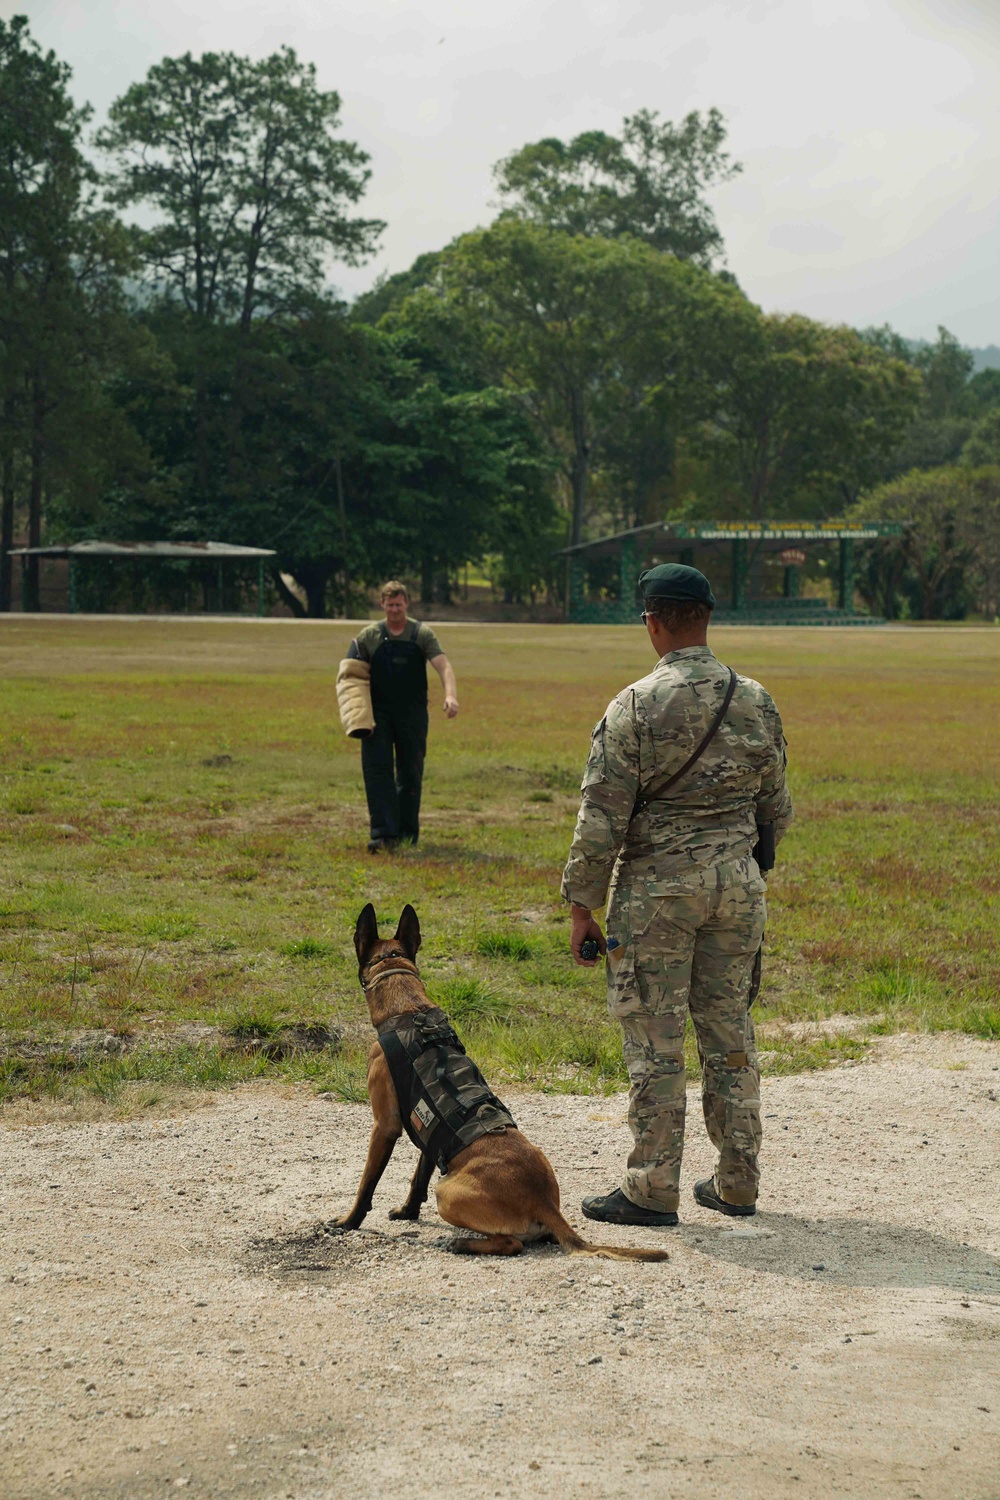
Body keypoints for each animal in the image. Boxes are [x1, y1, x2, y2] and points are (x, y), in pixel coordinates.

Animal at [328, 906, 668, 1260]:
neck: (408, 1008)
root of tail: (543, 1201)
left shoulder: (385, 1127)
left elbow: (367, 1183)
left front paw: (349, 1221)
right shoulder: (431, 1135)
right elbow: (417, 1178)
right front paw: (408, 1212)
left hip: (446, 1192)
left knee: (512, 1244)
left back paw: (462, 1243)